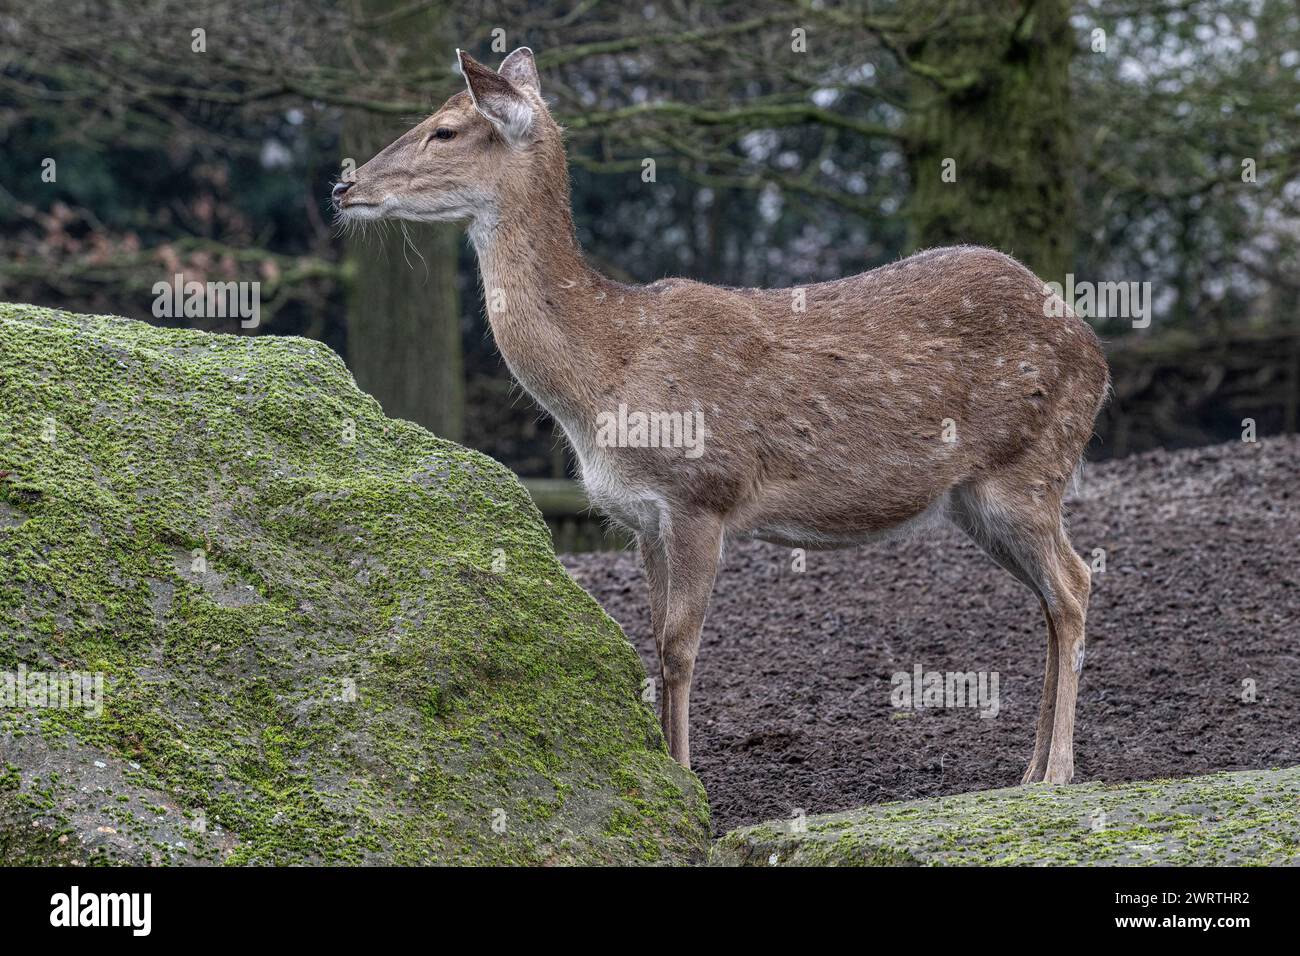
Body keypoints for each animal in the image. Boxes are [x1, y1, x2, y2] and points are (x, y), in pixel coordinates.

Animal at [332, 46, 1107, 785]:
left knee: (1073, 585)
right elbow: (653, 642)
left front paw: (686, 782)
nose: (344, 186)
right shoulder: (641, 517)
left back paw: (1057, 772)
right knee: (1050, 597)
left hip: (1028, 469)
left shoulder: (702, 492)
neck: (604, 377)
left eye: (445, 128)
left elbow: (680, 649)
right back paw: (1026, 770)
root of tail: (1095, 354)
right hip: (977, 498)